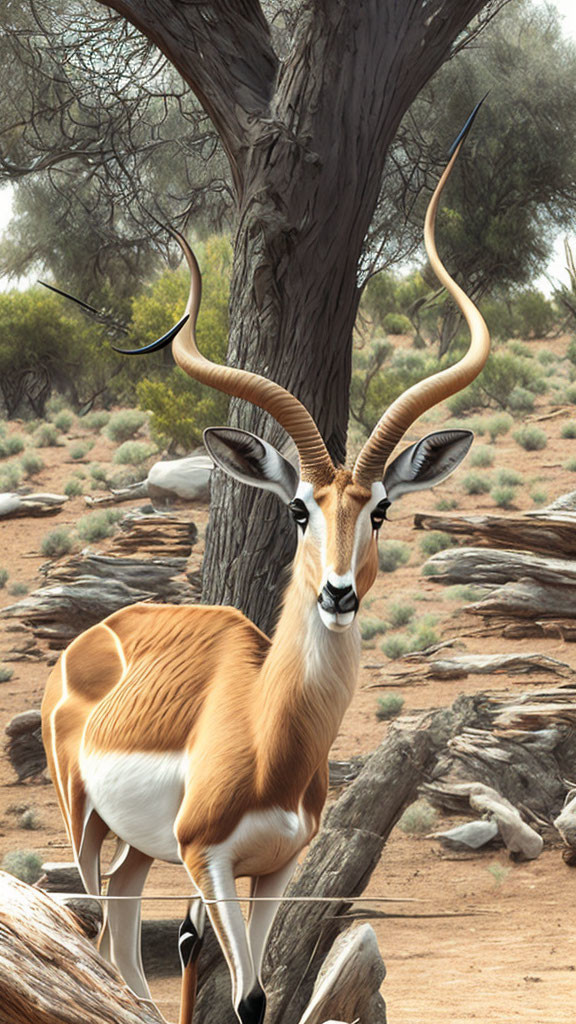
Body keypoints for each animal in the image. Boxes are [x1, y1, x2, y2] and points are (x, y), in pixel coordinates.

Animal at [41, 105, 487, 1024]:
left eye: (379, 509)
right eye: (298, 508)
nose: (339, 594)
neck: (263, 730)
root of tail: (92, 638)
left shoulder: (277, 866)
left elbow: (260, 995)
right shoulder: (206, 860)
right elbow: (238, 994)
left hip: (138, 849)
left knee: (123, 940)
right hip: (85, 822)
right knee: (96, 934)